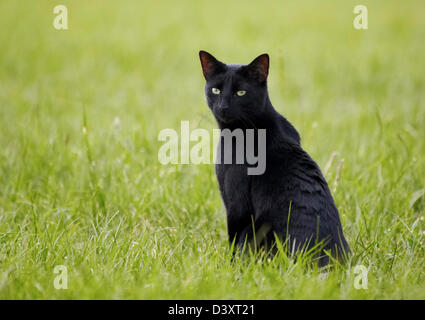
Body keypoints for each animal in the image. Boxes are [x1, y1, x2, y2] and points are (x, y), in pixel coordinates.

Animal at [198, 50, 348, 264]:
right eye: (216, 90)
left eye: (240, 93)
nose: (223, 107)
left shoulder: (236, 202)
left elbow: (232, 238)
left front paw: (228, 267)